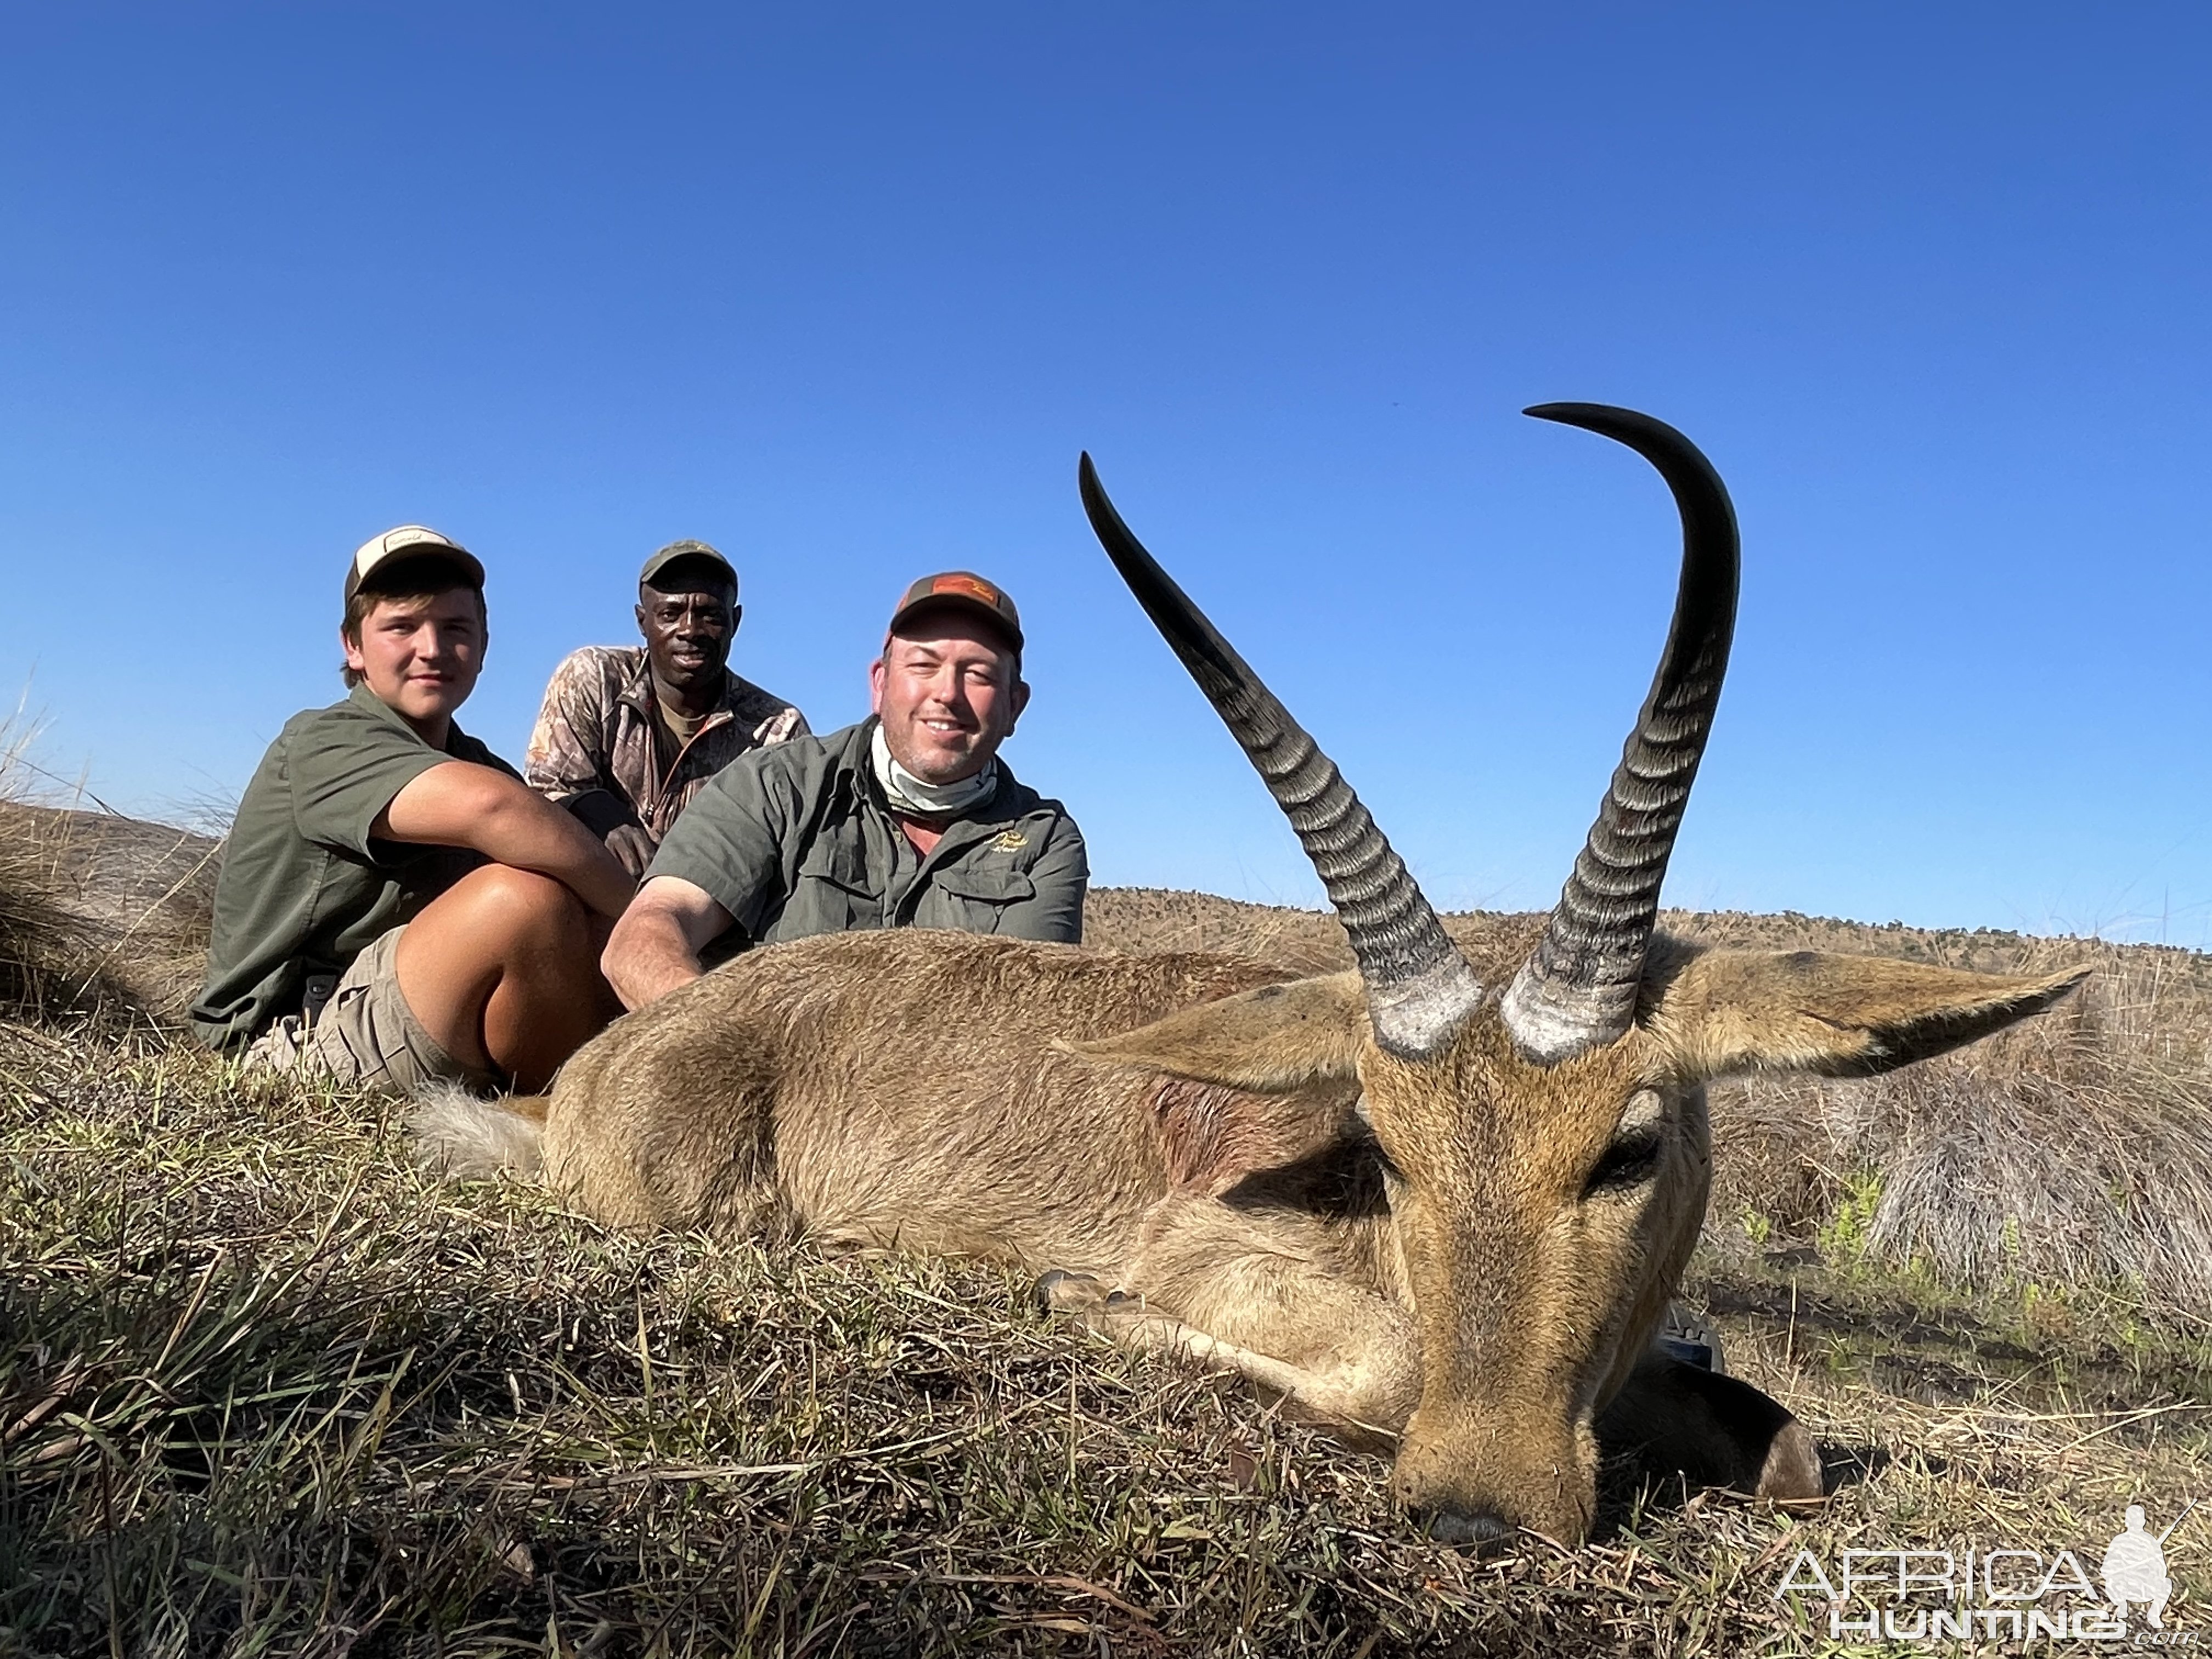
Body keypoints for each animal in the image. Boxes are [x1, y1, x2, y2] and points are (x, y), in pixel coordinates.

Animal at [418, 409, 2088, 1557]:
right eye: (1390, 1153)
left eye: (1628, 1149)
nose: (1476, 1511)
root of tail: (621, 1055)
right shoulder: (1228, 1262)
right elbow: (1377, 1360)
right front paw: (1069, 1290)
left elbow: (1789, 1444)